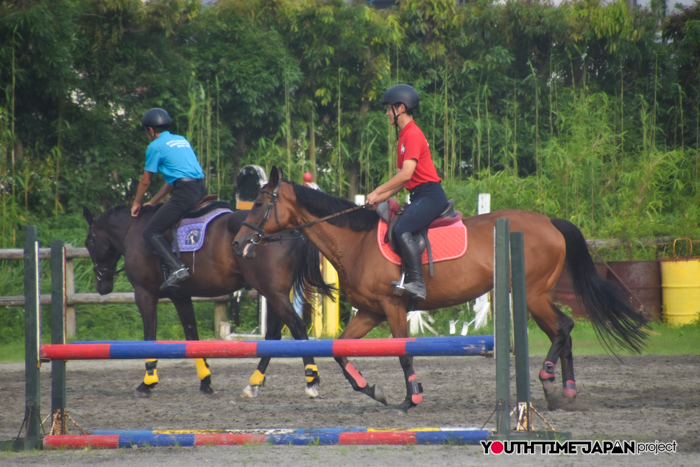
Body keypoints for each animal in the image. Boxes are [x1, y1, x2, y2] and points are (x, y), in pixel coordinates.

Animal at [83, 204, 332, 398]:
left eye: (89, 241)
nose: (102, 286)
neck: (134, 230)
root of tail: (294, 230)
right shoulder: (180, 296)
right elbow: (192, 337)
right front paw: (205, 381)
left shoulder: (144, 293)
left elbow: (150, 337)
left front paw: (147, 382)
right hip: (273, 294)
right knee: (274, 335)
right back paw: (254, 383)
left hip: (273, 293)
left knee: (297, 327)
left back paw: (311, 380)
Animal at [232, 166, 648, 413]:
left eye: (259, 203)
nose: (237, 244)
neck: (357, 241)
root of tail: (548, 221)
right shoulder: (371, 311)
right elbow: (340, 350)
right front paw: (372, 389)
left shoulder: (392, 307)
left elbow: (403, 353)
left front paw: (410, 397)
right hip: (534, 297)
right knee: (563, 332)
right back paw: (565, 392)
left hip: (532, 295)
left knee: (563, 328)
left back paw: (549, 381)